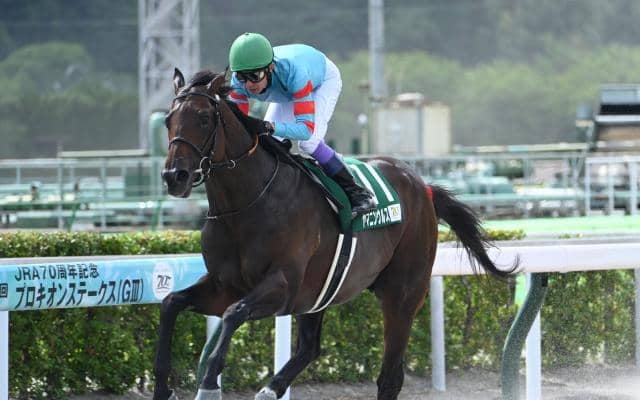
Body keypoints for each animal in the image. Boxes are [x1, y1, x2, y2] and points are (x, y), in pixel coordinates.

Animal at [155, 68, 517, 400]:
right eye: (168, 120)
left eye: (204, 119)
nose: (175, 176)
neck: (245, 205)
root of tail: (421, 186)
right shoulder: (224, 286)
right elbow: (172, 303)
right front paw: (163, 386)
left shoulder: (282, 286)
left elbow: (233, 314)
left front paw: (208, 383)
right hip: (319, 293)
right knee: (310, 348)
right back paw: (269, 390)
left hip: (403, 294)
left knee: (389, 376)